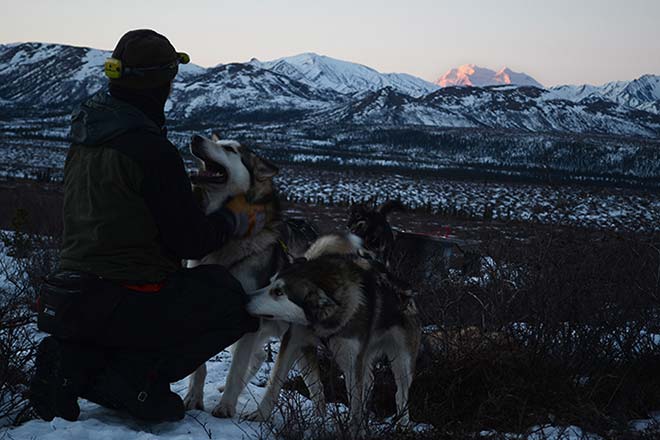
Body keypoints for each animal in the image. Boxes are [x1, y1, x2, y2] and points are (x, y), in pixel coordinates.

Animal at [179, 133, 316, 416]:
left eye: (230, 150)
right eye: (216, 140)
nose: (195, 137)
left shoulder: (248, 316)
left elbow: (236, 369)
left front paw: (225, 407)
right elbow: (200, 367)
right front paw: (193, 398)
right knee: (261, 356)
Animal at [245, 234, 420, 434]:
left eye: (279, 292)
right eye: (270, 283)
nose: (246, 297)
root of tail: (405, 290)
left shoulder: (352, 360)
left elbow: (356, 401)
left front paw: (355, 431)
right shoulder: (294, 341)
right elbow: (275, 382)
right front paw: (260, 415)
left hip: (401, 360)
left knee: (400, 393)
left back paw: (403, 425)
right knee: (359, 383)